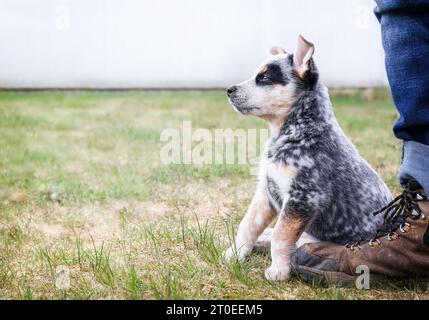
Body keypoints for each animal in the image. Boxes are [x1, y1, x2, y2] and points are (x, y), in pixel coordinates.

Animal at [224, 35, 392, 280]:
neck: (298, 133)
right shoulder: (266, 191)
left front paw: (279, 271)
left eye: (263, 77)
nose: (229, 89)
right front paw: (236, 253)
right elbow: (248, 225)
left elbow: (281, 237)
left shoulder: (303, 197)